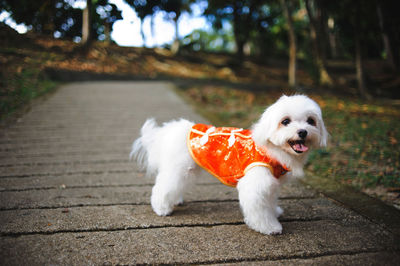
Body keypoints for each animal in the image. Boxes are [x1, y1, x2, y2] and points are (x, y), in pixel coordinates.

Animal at [130, 94, 326, 235]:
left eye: (311, 121)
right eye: (285, 121)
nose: (303, 132)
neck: (270, 148)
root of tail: (172, 129)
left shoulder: (271, 184)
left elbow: (269, 202)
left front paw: (274, 212)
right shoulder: (255, 183)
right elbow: (260, 210)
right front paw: (270, 227)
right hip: (179, 169)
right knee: (163, 187)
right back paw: (162, 208)